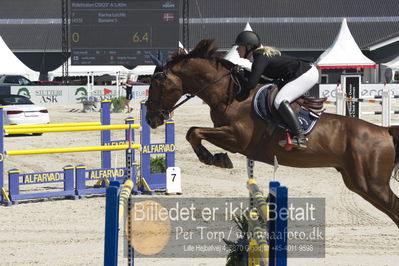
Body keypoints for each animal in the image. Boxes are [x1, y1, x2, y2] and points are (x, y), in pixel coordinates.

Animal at [145, 38, 399, 228]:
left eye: (158, 83)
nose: (150, 119)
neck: (230, 95)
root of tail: (384, 132)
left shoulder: (237, 138)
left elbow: (194, 131)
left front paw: (213, 158)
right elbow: (193, 132)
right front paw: (216, 158)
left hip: (371, 184)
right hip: (357, 182)